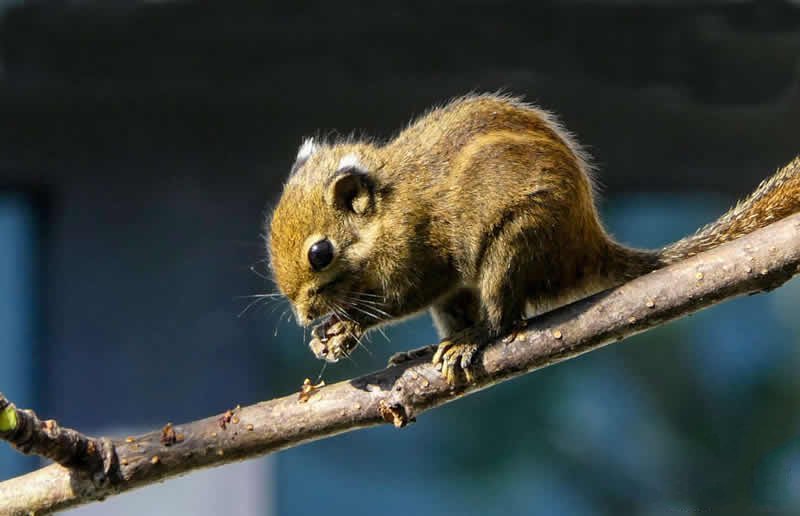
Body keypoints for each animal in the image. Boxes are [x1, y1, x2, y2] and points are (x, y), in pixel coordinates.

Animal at [268, 93, 800, 384]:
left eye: (320, 253)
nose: (303, 315)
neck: (385, 212)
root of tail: (588, 244)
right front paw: (326, 334)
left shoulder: (418, 255)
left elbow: (399, 298)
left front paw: (345, 327)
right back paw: (430, 349)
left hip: (514, 245)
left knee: (504, 318)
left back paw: (472, 340)